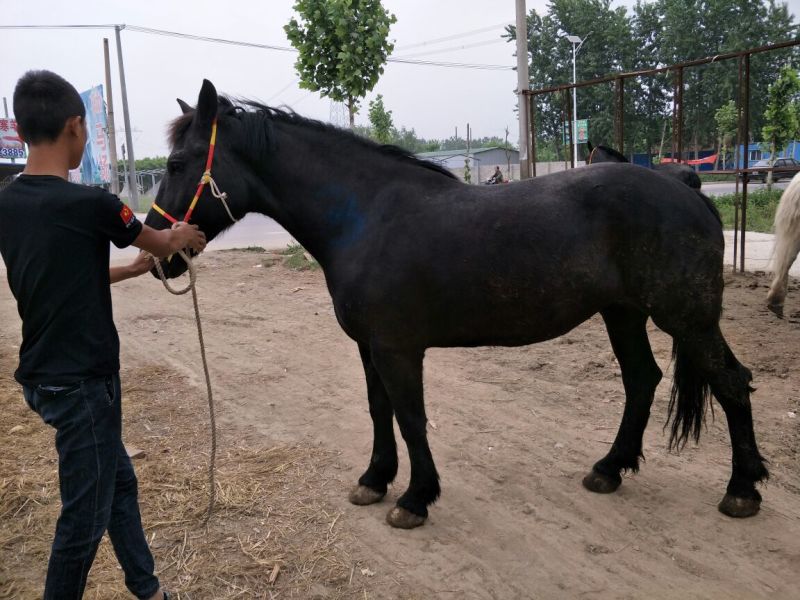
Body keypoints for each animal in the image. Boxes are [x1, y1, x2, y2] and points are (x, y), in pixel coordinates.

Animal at [145, 80, 768, 529]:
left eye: (177, 165)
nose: (160, 256)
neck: (365, 217)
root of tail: (686, 187)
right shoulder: (370, 348)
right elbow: (379, 411)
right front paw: (375, 480)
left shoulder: (397, 349)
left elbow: (411, 416)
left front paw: (415, 499)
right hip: (624, 314)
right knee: (642, 380)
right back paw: (609, 470)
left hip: (686, 318)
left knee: (732, 383)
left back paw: (741, 491)